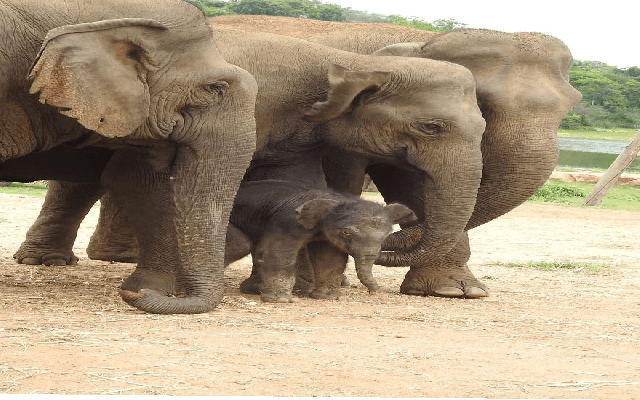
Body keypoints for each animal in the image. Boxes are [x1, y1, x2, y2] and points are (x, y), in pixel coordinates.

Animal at [224, 179, 417, 302]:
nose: (375, 292)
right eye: (347, 233)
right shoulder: (287, 221)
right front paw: (282, 300)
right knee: (240, 245)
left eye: (386, 235)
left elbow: (329, 257)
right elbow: (279, 250)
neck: (335, 198)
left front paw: (328, 298)